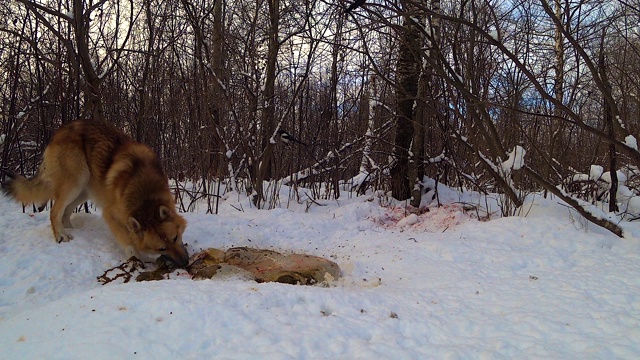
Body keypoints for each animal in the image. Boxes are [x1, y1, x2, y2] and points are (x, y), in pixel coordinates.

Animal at [0, 120, 190, 268]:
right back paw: (61, 235)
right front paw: (135, 259)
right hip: (76, 182)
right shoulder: (111, 215)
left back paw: (72, 230)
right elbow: (128, 242)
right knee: (55, 211)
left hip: (84, 190)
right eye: (161, 248)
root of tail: (58, 133)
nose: (185, 263)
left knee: (65, 212)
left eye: (175, 238)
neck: (144, 193)